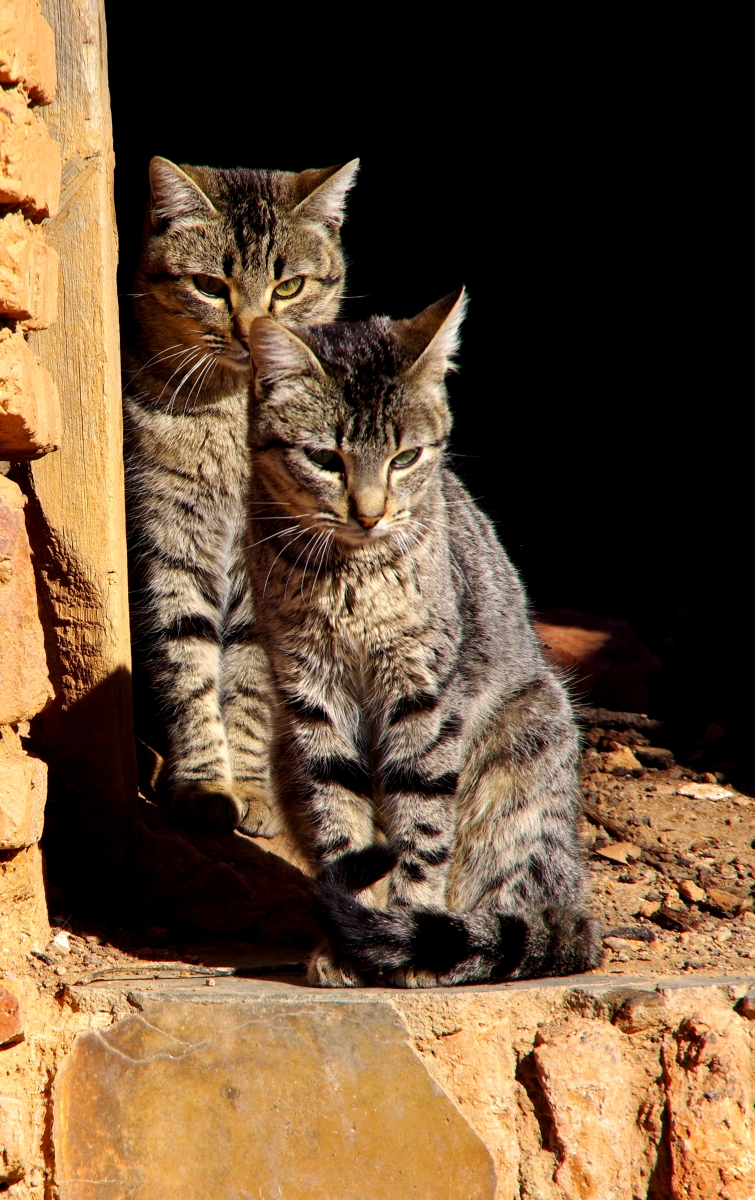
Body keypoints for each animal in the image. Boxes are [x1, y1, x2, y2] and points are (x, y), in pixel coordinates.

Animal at [122, 157, 357, 835]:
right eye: (209, 285)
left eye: (289, 287)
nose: (255, 334)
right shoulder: (169, 545)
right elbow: (187, 666)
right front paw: (205, 783)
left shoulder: (266, 577)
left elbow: (252, 683)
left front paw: (249, 786)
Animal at [246, 290, 600, 984]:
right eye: (325, 460)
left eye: (404, 458)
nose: (370, 512)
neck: (348, 576)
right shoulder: (310, 695)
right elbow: (342, 824)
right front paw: (352, 943)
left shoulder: (425, 693)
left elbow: (421, 824)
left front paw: (404, 928)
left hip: (527, 742)